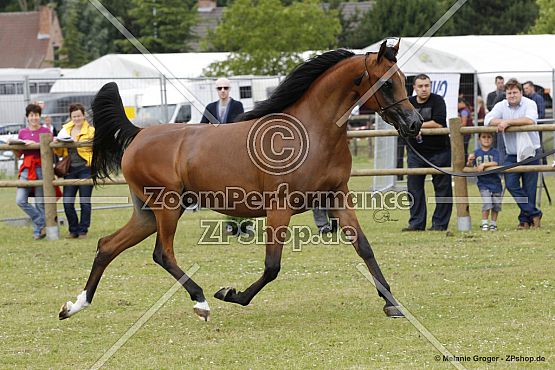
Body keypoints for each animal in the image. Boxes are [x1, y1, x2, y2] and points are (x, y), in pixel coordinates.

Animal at [58, 40, 422, 320]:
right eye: (386, 83)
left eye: (404, 79)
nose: (415, 123)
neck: (311, 133)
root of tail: (138, 134)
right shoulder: (279, 208)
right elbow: (272, 266)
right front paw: (231, 294)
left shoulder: (337, 197)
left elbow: (364, 248)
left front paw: (393, 304)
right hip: (167, 207)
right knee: (162, 254)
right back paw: (202, 301)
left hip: (147, 213)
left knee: (107, 246)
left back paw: (74, 306)